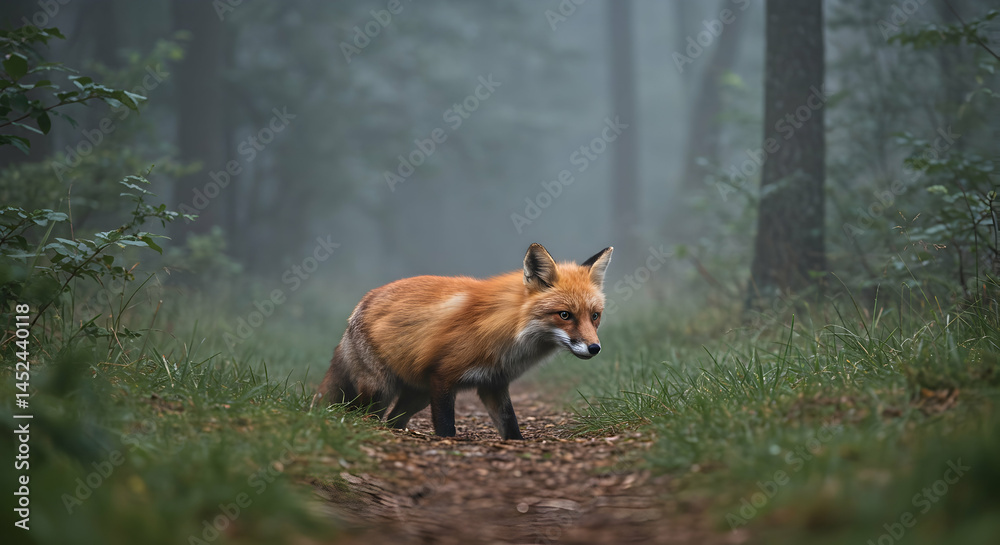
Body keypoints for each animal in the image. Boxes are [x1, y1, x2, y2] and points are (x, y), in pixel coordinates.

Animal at [316, 243, 612, 440]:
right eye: (565, 315)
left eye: (595, 316)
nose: (595, 348)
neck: (510, 331)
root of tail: (362, 303)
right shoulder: (443, 377)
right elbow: (447, 428)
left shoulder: (494, 384)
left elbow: (511, 426)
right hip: (381, 391)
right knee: (360, 416)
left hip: (417, 396)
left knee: (393, 421)